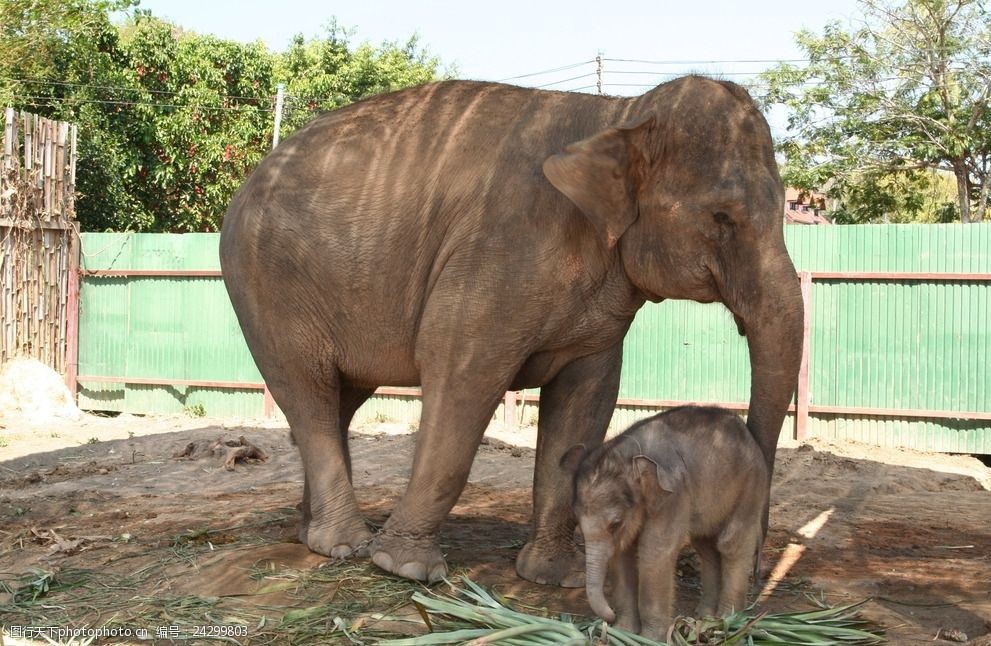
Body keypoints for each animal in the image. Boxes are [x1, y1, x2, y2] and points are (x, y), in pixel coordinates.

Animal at [219, 74, 808, 588]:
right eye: (722, 217)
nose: (755, 575)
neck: (618, 115)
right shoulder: (495, 254)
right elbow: (461, 378)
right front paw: (405, 568)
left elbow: (586, 402)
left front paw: (556, 577)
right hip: (266, 290)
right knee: (309, 395)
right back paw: (344, 545)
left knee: (341, 400)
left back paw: (313, 534)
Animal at [564, 408, 768, 640]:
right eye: (577, 518)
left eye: (615, 524)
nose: (609, 618)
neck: (627, 455)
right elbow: (621, 555)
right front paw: (624, 632)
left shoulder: (673, 494)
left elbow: (655, 552)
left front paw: (649, 639)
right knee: (705, 545)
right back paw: (706, 617)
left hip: (751, 485)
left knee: (731, 543)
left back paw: (728, 621)